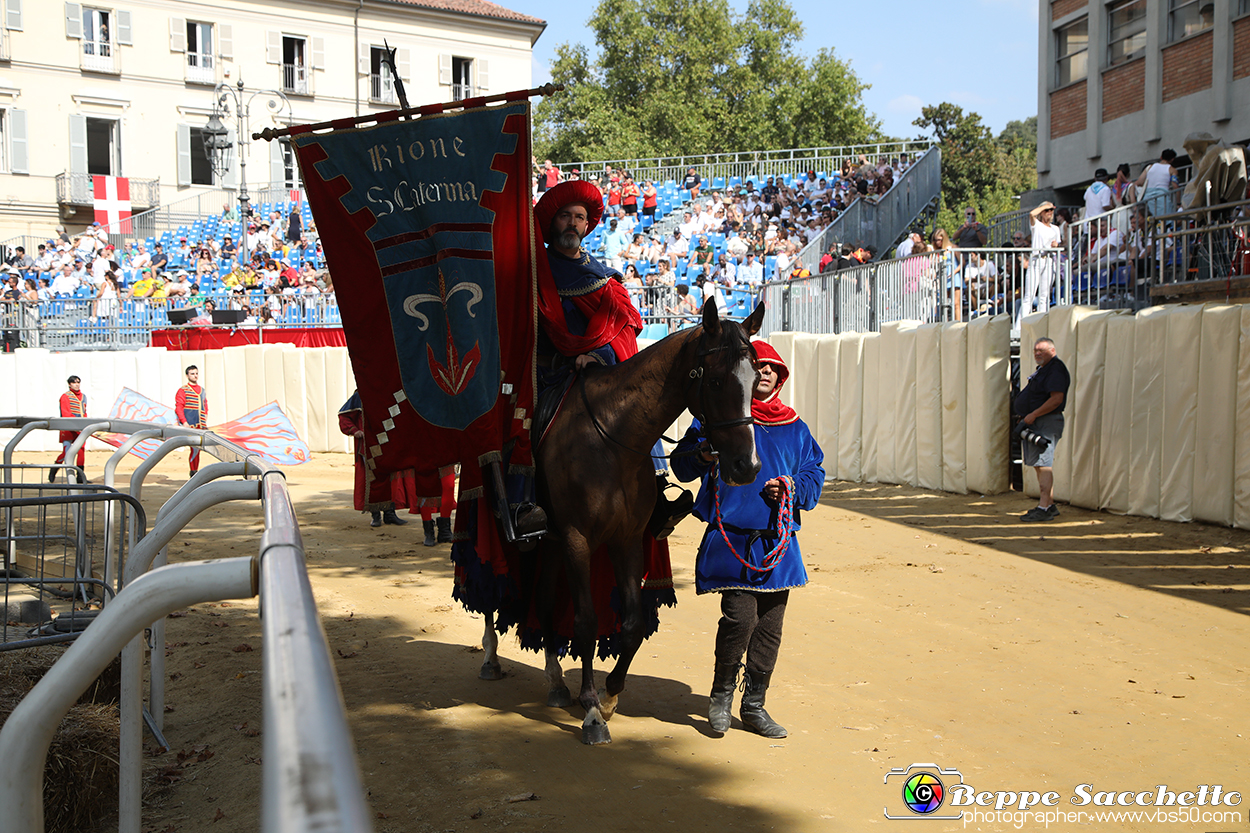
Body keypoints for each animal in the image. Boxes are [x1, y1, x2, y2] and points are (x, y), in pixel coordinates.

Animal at [475, 298, 760, 740]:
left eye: (757, 378)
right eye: (714, 381)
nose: (746, 466)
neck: (612, 439)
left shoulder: (625, 539)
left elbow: (631, 624)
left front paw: (609, 696)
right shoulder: (578, 539)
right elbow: (587, 622)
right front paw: (592, 710)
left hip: (551, 543)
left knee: (543, 599)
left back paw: (555, 681)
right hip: (497, 523)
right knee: (490, 587)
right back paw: (491, 656)